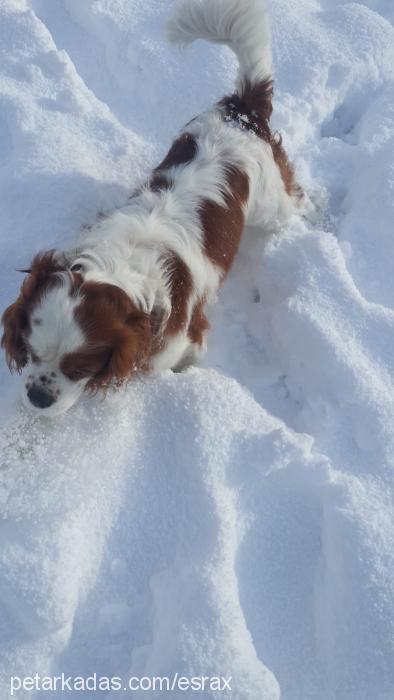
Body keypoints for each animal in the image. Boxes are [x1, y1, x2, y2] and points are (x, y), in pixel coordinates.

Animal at [0, 0, 304, 416]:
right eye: (30, 352)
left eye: (81, 368)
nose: (38, 397)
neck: (122, 267)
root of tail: (242, 110)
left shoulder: (184, 339)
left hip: (272, 202)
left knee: (294, 200)